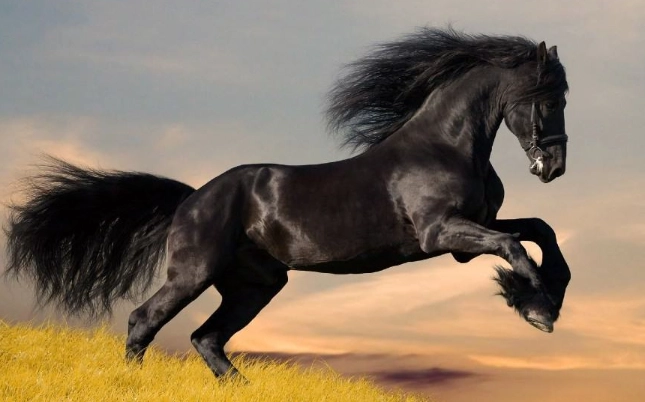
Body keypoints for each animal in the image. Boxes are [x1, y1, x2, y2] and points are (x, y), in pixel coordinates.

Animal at [5, 28, 571, 380]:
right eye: (548, 97)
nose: (554, 167)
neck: (445, 145)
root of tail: (192, 199)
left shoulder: (470, 232)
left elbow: (539, 230)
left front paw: (546, 295)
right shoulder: (442, 234)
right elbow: (514, 246)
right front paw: (537, 308)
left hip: (255, 285)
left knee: (207, 338)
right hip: (194, 273)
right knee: (145, 321)